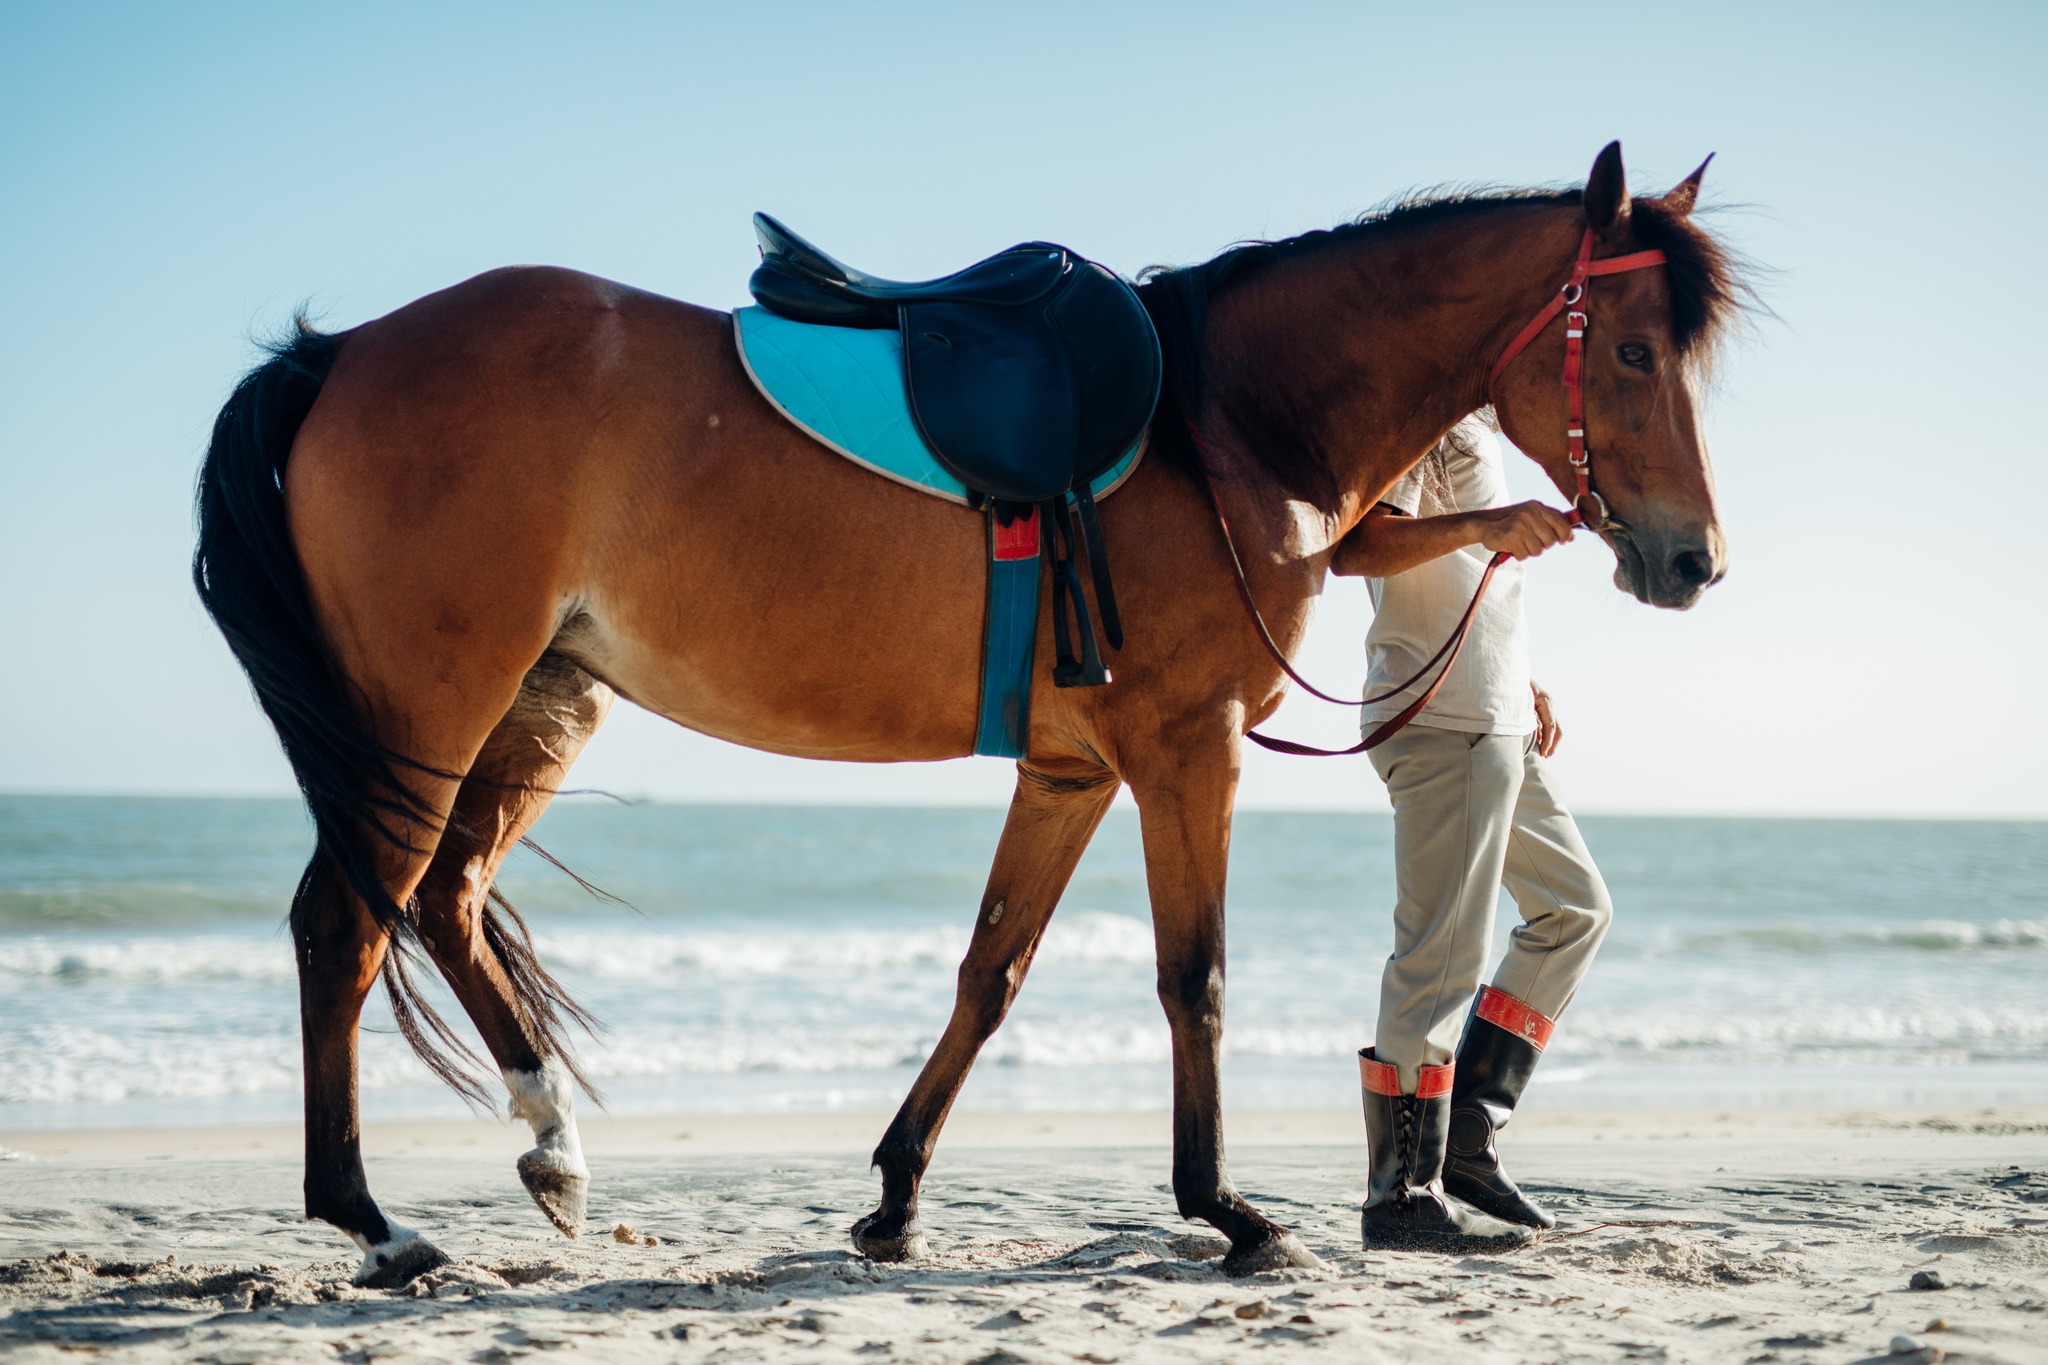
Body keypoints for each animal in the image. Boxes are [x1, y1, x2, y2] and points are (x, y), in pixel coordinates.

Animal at [192, 139, 1744, 1285]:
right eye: (1630, 355)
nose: (1693, 561)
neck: (1224, 425)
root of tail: (343, 352)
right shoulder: (1184, 755)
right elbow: (1196, 979)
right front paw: (1228, 1210)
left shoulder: (1070, 772)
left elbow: (989, 974)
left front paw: (893, 1199)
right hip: (433, 710)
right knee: (344, 925)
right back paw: (377, 1227)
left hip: (537, 706)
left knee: (444, 899)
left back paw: (551, 1145)